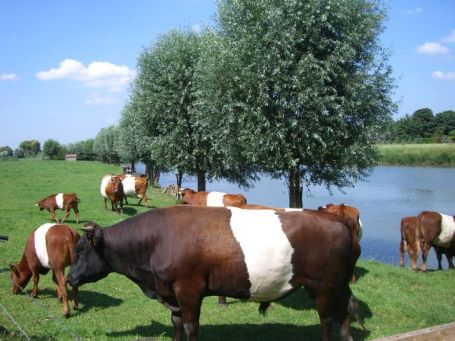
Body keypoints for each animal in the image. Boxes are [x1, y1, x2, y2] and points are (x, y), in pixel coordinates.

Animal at [67, 205, 362, 340]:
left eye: (81, 250)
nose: (70, 278)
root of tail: (336, 218)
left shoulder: (188, 288)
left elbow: (190, 326)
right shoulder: (172, 292)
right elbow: (176, 323)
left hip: (323, 285)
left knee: (326, 319)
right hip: (339, 284)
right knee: (346, 310)